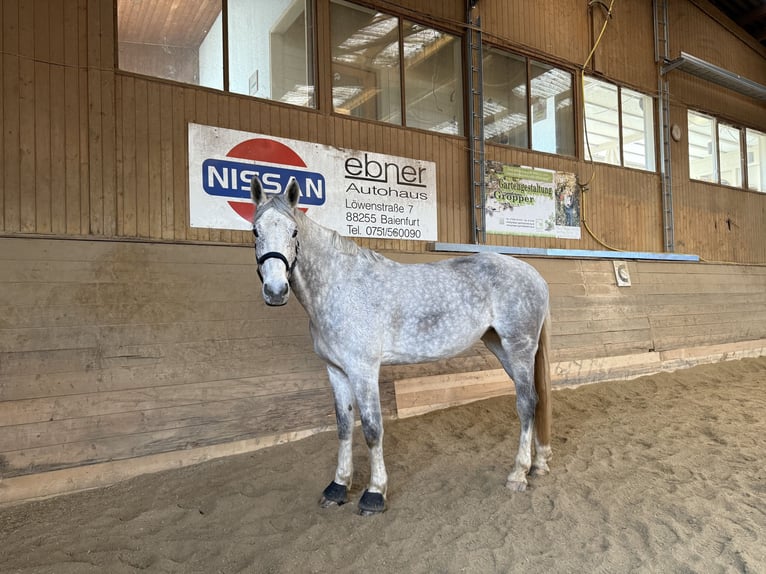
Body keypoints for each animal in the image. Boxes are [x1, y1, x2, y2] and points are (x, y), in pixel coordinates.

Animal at [250, 176, 552, 515]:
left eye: (293, 232)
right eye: (256, 231)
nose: (276, 291)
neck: (340, 286)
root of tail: (535, 275)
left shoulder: (364, 370)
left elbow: (372, 429)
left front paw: (374, 493)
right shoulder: (336, 370)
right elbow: (344, 426)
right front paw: (338, 487)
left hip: (519, 347)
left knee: (526, 402)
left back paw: (518, 473)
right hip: (500, 347)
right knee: (535, 400)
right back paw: (539, 463)